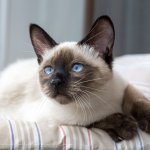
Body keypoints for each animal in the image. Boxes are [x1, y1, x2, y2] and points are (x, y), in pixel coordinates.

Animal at [0, 14, 150, 142]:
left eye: (76, 68)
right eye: (49, 70)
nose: (55, 81)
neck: (96, 97)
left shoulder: (125, 85)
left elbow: (138, 99)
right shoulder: (56, 123)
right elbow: (91, 122)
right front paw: (124, 126)